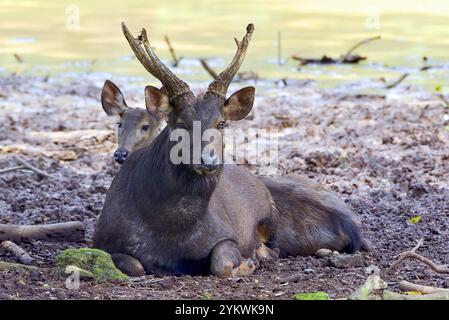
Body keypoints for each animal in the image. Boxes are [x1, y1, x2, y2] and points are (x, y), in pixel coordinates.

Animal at [93, 21, 370, 278]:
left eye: (221, 123)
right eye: (180, 123)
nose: (208, 160)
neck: (171, 232)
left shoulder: (228, 233)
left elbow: (221, 263)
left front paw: (247, 262)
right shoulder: (104, 240)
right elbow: (136, 266)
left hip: (270, 214)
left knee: (274, 249)